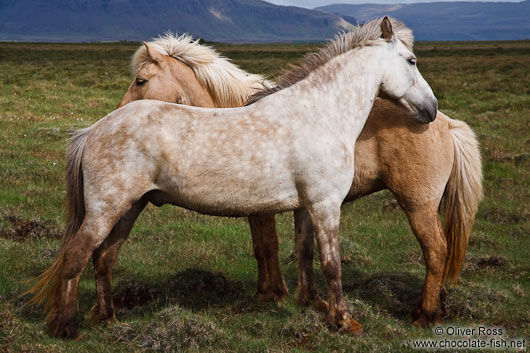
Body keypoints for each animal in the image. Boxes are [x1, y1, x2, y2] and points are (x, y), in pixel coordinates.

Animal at [26, 17, 436, 336]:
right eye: (411, 60)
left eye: (141, 80)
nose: (431, 109)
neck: (320, 113)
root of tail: (94, 130)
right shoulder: (324, 205)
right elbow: (331, 264)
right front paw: (345, 321)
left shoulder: (306, 207)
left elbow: (304, 255)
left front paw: (311, 305)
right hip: (106, 210)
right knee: (76, 256)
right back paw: (66, 327)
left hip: (130, 208)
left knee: (104, 258)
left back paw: (108, 319)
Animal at [117, 32, 480, 324]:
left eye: (141, 80)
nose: (115, 114)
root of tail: (445, 122)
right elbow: (280, 248)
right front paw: (283, 295)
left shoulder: (264, 208)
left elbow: (267, 246)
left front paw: (273, 292)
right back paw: (435, 307)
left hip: (417, 203)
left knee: (436, 251)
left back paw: (425, 315)